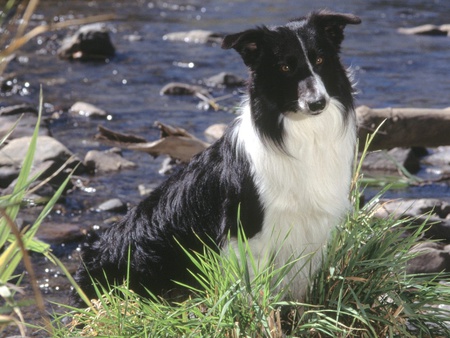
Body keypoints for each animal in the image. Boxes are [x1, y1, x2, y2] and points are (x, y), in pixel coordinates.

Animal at [74, 11, 362, 306]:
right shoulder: (249, 234)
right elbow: (254, 292)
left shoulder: (312, 232)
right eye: (284, 67)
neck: (301, 132)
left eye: (320, 60)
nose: (317, 103)